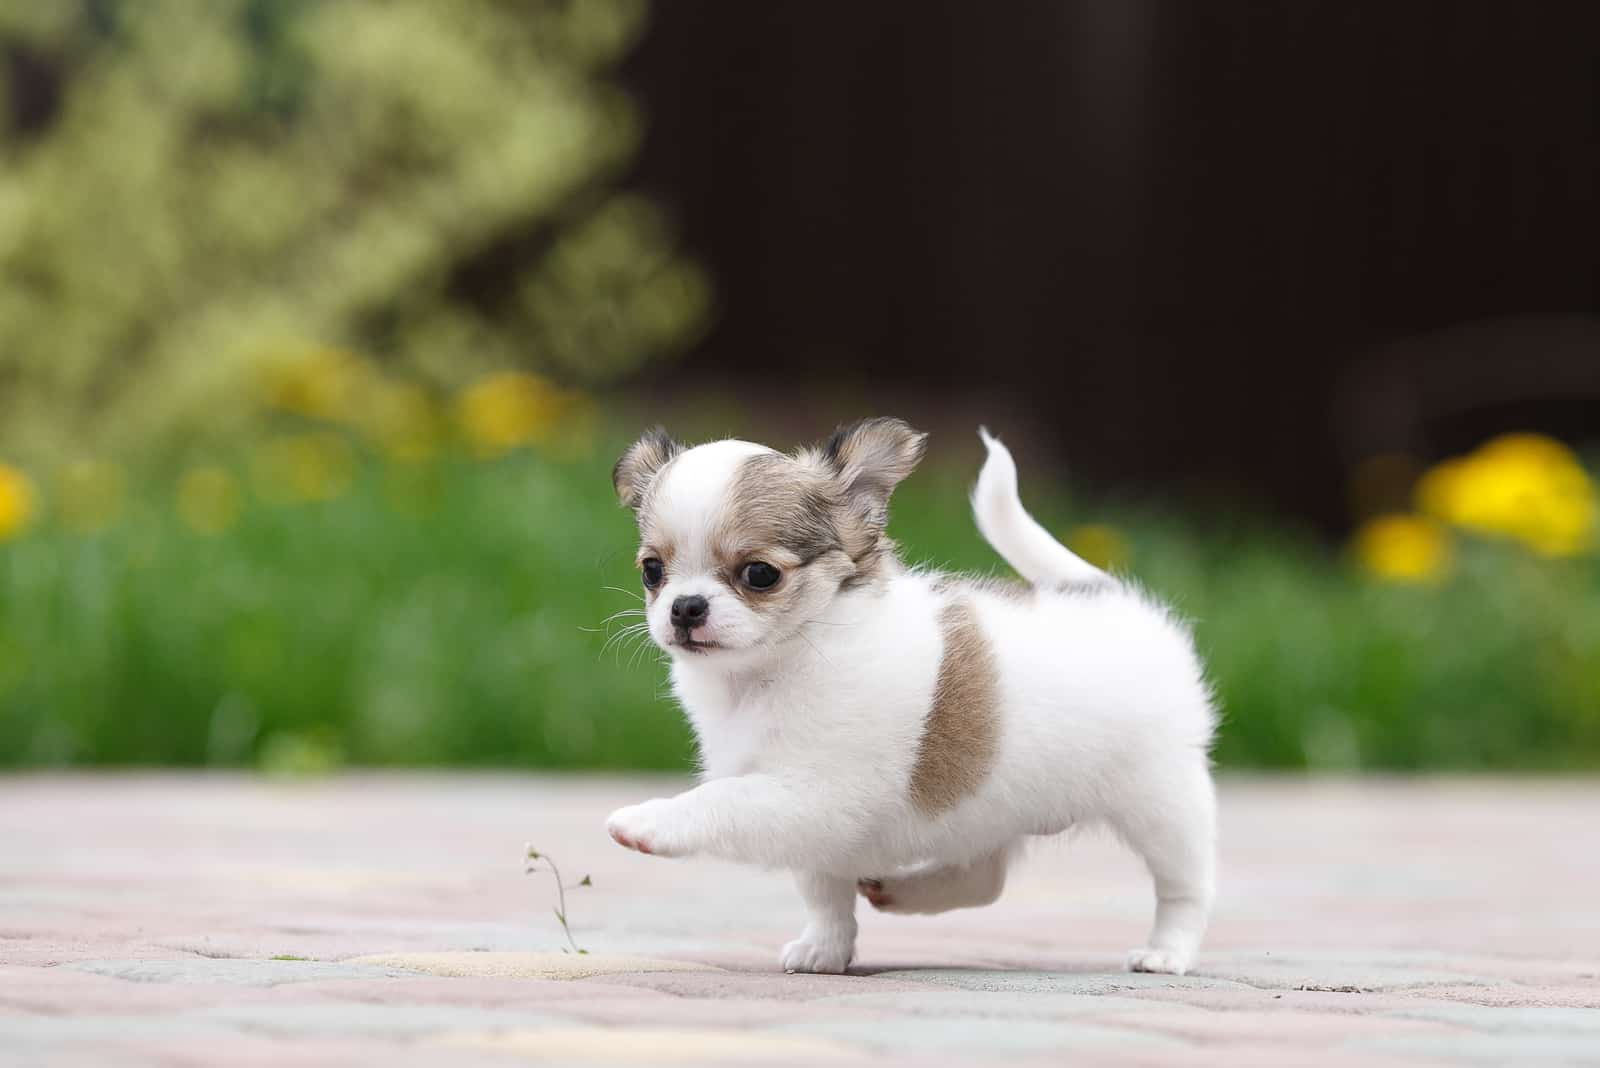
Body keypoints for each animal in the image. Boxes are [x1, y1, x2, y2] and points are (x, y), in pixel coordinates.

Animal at [601, 415, 1209, 978]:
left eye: (759, 574)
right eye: (652, 571)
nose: (686, 607)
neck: (770, 671)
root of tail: (1110, 596)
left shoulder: (811, 796)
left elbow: (721, 803)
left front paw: (648, 822)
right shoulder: (818, 828)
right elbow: (824, 894)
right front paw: (825, 950)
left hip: (1162, 801)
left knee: (1185, 888)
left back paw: (1167, 952)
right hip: (987, 806)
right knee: (985, 878)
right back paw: (906, 892)